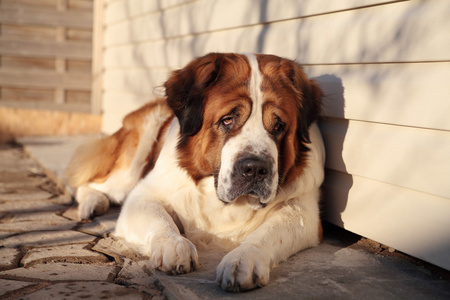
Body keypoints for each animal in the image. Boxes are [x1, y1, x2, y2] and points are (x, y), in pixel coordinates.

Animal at [66, 52, 324, 292]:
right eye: (227, 120)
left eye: (279, 126)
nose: (255, 169)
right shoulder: (143, 195)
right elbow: (160, 219)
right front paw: (174, 246)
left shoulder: (304, 210)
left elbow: (270, 231)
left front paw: (244, 259)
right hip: (131, 164)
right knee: (89, 181)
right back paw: (92, 203)